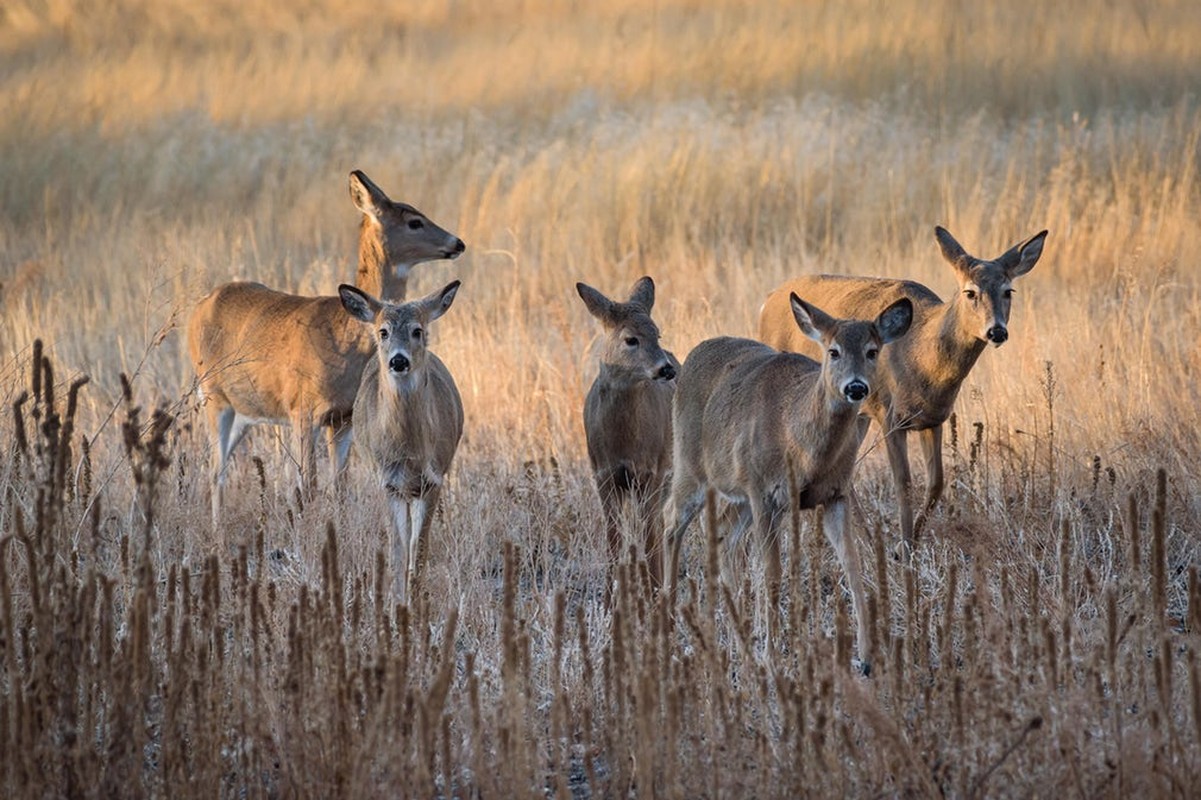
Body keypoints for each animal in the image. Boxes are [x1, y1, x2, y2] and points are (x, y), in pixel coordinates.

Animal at [187, 169, 463, 521]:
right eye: (414, 221)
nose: (457, 243)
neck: (346, 336)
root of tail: (199, 307)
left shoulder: (342, 417)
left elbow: (339, 487)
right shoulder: (302, 409)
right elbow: (309, 487)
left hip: (244, 410)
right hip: (213, 396)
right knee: (215, 471)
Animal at [343, 278, 468, 598]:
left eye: (417, 330)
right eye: (383, 331)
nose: (398, 361)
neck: (409, 452)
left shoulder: (433, 480)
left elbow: (419, 548)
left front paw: (415, 598)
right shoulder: (388, 482)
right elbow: (398, 549)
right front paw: (397, 600)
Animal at [578, 276, 682, 598]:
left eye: (657, 333)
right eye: (630, 339)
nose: (666, 369)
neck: (622, 442)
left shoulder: (652, 473)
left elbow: (650, 538)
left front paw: (654, 595)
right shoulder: (603, 475)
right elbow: (614, 541)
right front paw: (609, 601)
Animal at [667, 289, 907, 667]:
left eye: (872, 350)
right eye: (833, 351)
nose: (856, 387)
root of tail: (693, 354)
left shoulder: (834, 494)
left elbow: (853, 568)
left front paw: (868, 657)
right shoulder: (766, 493)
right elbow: (773, 573)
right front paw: (773, 655)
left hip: (742, 494)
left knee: (723, 535)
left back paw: (739, 642)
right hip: (692, 465)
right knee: (671, 524)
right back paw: (666, 619)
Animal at [759, 227, 1052, 545]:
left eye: (1008, 291)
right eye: (970, 292)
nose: (997, 331)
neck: (922, 358)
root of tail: (768, 300)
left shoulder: (934, 419)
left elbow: (936, 483)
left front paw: (912, 539)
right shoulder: (890, 414)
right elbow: (904, 483)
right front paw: (905, 545)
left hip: (856, 413)